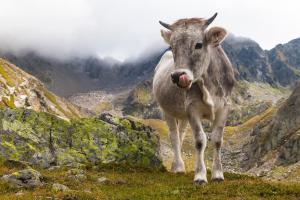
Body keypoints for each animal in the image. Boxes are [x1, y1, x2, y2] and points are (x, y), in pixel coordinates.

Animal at [154, 12, 236, 184]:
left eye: (199, 45)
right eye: (172, 47)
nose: (177, 76)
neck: (209, 85)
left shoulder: (224, 107)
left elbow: (217, 139)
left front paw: (218, 174)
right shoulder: (192, 108)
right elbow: (199, 140)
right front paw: (200, 176)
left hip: (183, 115)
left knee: (181, 134)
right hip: (166, 110)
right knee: (174, 136)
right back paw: (178, 167)